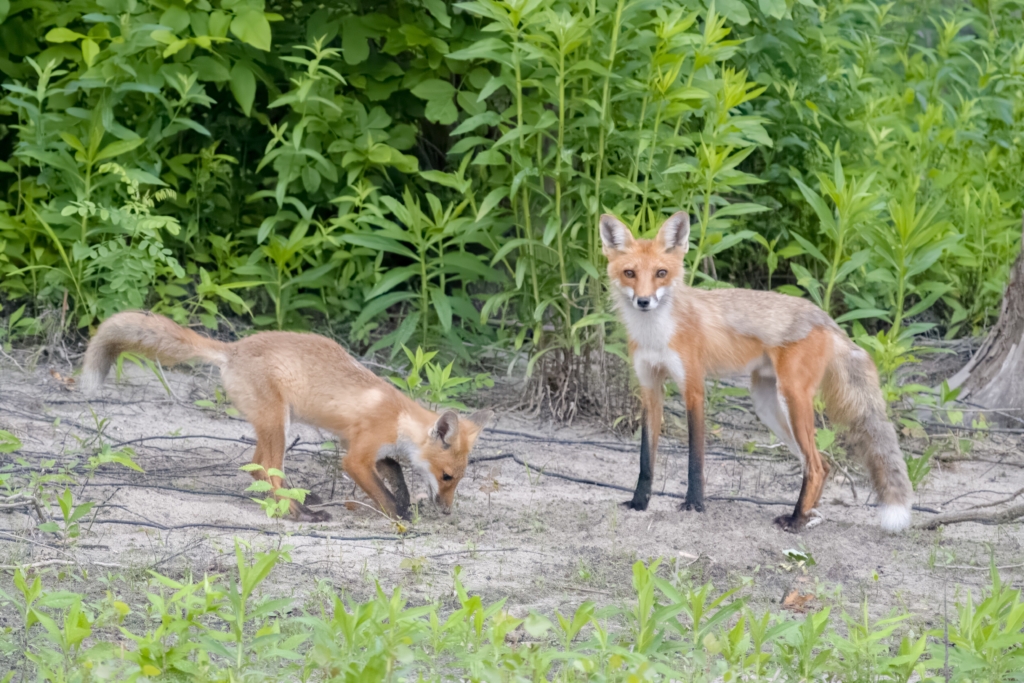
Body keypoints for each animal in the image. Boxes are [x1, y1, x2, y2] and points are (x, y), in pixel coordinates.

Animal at [83, 313, 491, 520]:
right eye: (447, 476)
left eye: (458, 479)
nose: (447, 511)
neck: (398, 417)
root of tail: (233, 348)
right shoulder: (356, 457)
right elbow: (380, 491)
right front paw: (400, 517)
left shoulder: (375, 450)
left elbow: (396, 477)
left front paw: (405, 504)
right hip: (279, 425)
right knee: (268, 470)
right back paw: (297, 512)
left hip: (271, 426)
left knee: (254, 468)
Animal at [598, 210, 913, 532]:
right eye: (629, 273)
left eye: (661, 273)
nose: (643, 301)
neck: (656, 334)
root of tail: (826, 318)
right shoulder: (650, 388)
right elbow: (645, 459)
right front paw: (639, 503)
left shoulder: (693, 388)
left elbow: (695, 459)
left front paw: (694, 505)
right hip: (768, 408)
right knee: (822, 464)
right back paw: (807, 516)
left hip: (792, 400)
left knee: (814, 464)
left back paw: (796, 520)